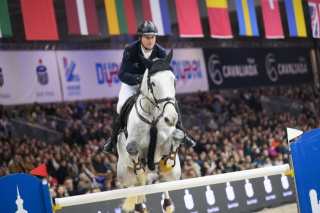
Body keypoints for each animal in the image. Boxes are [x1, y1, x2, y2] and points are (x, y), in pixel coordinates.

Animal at [116, 49, 184, 212]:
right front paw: (139, 167)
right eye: (153, 83)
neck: (153, 117)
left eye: (173, 80)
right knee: (138, 183)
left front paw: (167, 162)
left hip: (174, 174)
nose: (171, 118)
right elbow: (133, 150)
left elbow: (177, 137)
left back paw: (167, 204)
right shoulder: (133, 146)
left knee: (163, 180)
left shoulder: (165, 144)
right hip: (124, 176)